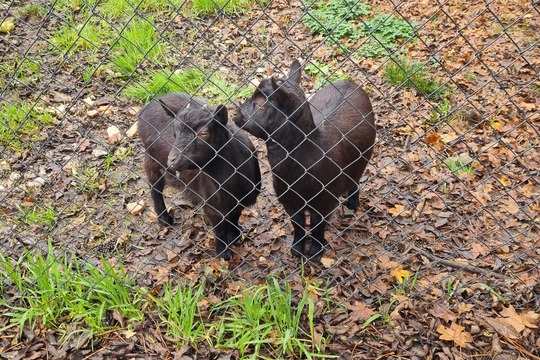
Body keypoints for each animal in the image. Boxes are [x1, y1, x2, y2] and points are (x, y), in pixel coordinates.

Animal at [137, 93, 260, 258]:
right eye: (175, 133)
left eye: (204, 133)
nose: (172, 160)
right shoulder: (212, 204)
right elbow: (220, 229)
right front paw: (223, 253)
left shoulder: (240, 199)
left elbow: (235, 216)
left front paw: (235, 236)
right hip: (151, 160)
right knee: (155, 188)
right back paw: (164, 219)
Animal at [232, 59, 376, 258]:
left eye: (262, 104)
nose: (235, 114)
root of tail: (350, 82)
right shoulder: (289, 200)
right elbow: (298, 225)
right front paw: (297, 249)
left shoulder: (324, 202)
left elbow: (317, 225)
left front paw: (315, 250)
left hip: (363, 158)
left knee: (355, 179)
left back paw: (352, 203)